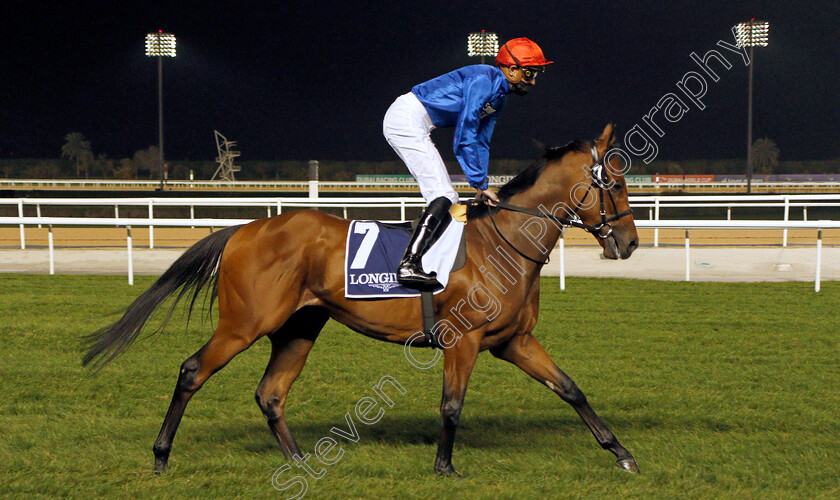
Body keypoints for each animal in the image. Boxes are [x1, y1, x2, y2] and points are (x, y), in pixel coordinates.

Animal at [82, 124, 640, 476]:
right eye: (614, 182)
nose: (631, 243)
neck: (502, 243)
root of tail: (243, 228)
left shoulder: (514, 341)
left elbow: (571, 389)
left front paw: (621, 453)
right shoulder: (464, 341)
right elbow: (452, 406)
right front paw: (444, 466)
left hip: (299, 327)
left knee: (271, 393)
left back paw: (299, 462)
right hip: (245, 323)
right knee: (193, 371)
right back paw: (161, 455)